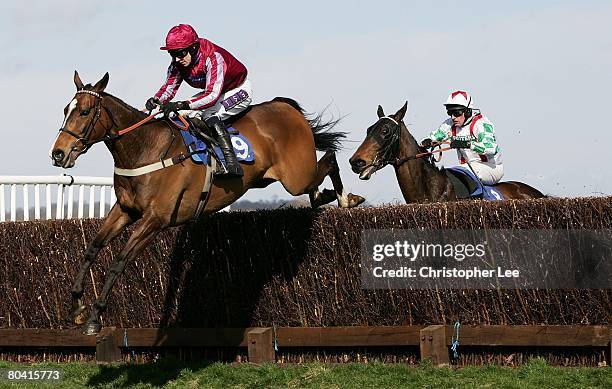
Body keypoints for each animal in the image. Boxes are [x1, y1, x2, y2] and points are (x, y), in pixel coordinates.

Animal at [51, 72, 364, 334]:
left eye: (84, 111)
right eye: (65, 110)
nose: (58, 153)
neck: (146, 150)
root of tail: (284, 106)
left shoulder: (156, 219)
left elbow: (119, 261)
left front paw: (94, 317)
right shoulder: (125, 210)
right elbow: (92, 248)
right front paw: (77, 307)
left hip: (296, 176)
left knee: (329, 159)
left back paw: (346, 198)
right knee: (319, 176)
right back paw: (323, 197)